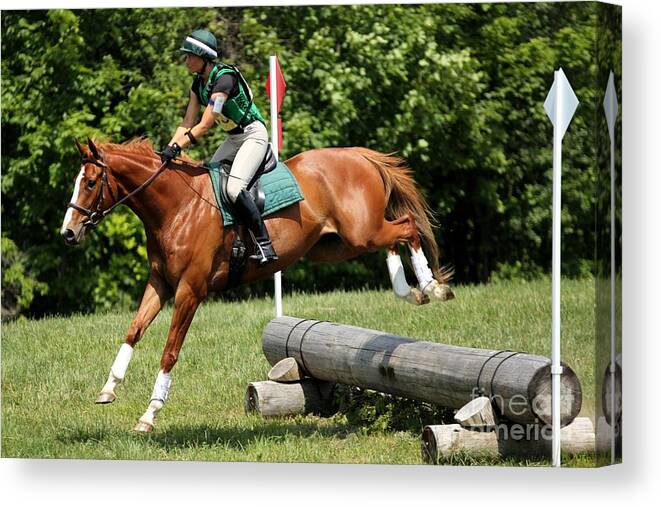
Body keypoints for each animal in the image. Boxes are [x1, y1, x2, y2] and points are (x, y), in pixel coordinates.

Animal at [60, 138, 454, 432]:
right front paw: (108, 388)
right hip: (339, 244)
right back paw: (411, 292)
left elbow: (170, 350)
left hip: (361, 231)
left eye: (90, 183)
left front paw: (150, 413)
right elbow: (134, 330)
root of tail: (357, 154)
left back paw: (433, 288)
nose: (67, 233)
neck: (176, 207)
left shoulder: (190, 290)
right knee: (393, 238)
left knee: (408, 226)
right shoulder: (160, 283)